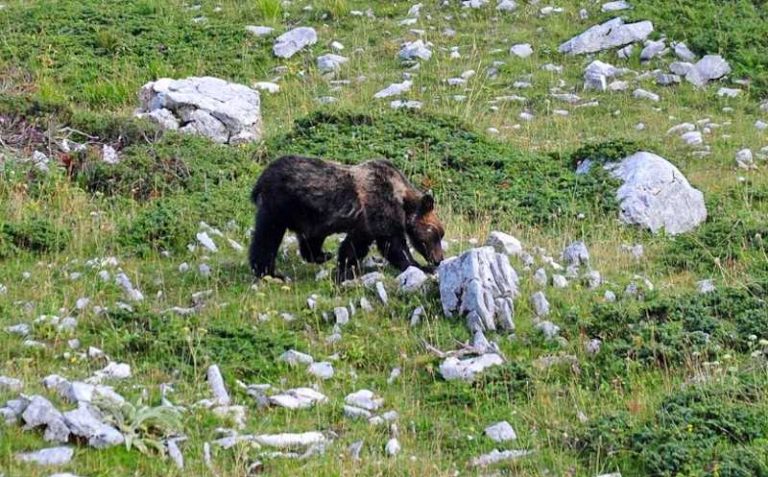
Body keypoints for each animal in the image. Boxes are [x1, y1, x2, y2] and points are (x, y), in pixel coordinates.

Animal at [249, 154, 448, 280]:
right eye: (436, 234)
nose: (439, 259)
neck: (402, 200)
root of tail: (261, 178)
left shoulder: (365, 223)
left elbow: (354, 246)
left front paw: (344, 268)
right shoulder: (380, 206)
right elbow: (393, 245)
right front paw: (419, 265)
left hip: (308, 214)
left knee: (310, 240)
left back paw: (322, 255)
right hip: (278, 206)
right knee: (267, 238)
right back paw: (269, 272)